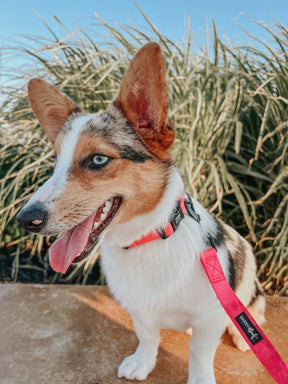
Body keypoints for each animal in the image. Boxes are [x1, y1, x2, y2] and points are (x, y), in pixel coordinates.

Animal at [17, 43, 266, 382]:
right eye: (56, 161)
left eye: (98, 159)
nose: (24, 220)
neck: (145, 239)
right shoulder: (139, 311)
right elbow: (148, 336)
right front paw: (143, 362)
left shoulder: (210, 316)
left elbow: (200, 353)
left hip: (248, 278)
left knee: (252, 308)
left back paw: (242, 335)